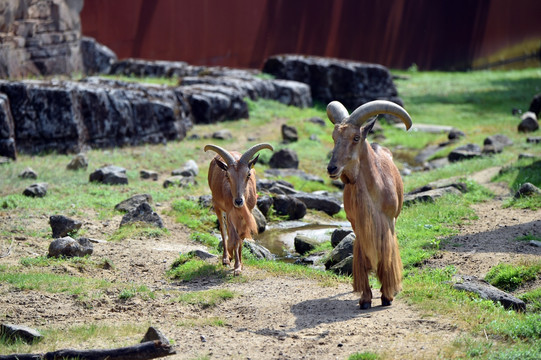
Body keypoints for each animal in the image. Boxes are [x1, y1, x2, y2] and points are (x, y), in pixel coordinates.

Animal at [204, 142, 272, 274]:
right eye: (227, 175)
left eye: (248, 174)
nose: (238, 201)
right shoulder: (230, 213)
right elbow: (234, 238)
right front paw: (235, 264)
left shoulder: (247, 213)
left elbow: (241, 237)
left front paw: (239, 265)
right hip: (217, 205)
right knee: (223, 229)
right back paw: (226, 258)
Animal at [324, 99, 414, 310]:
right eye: (334, 137)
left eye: (356, 137)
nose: (332, 168)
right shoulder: (358, 226)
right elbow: (363, 258)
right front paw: (365, 299)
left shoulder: (388, 223)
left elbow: (387, 258)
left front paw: (387, 295)